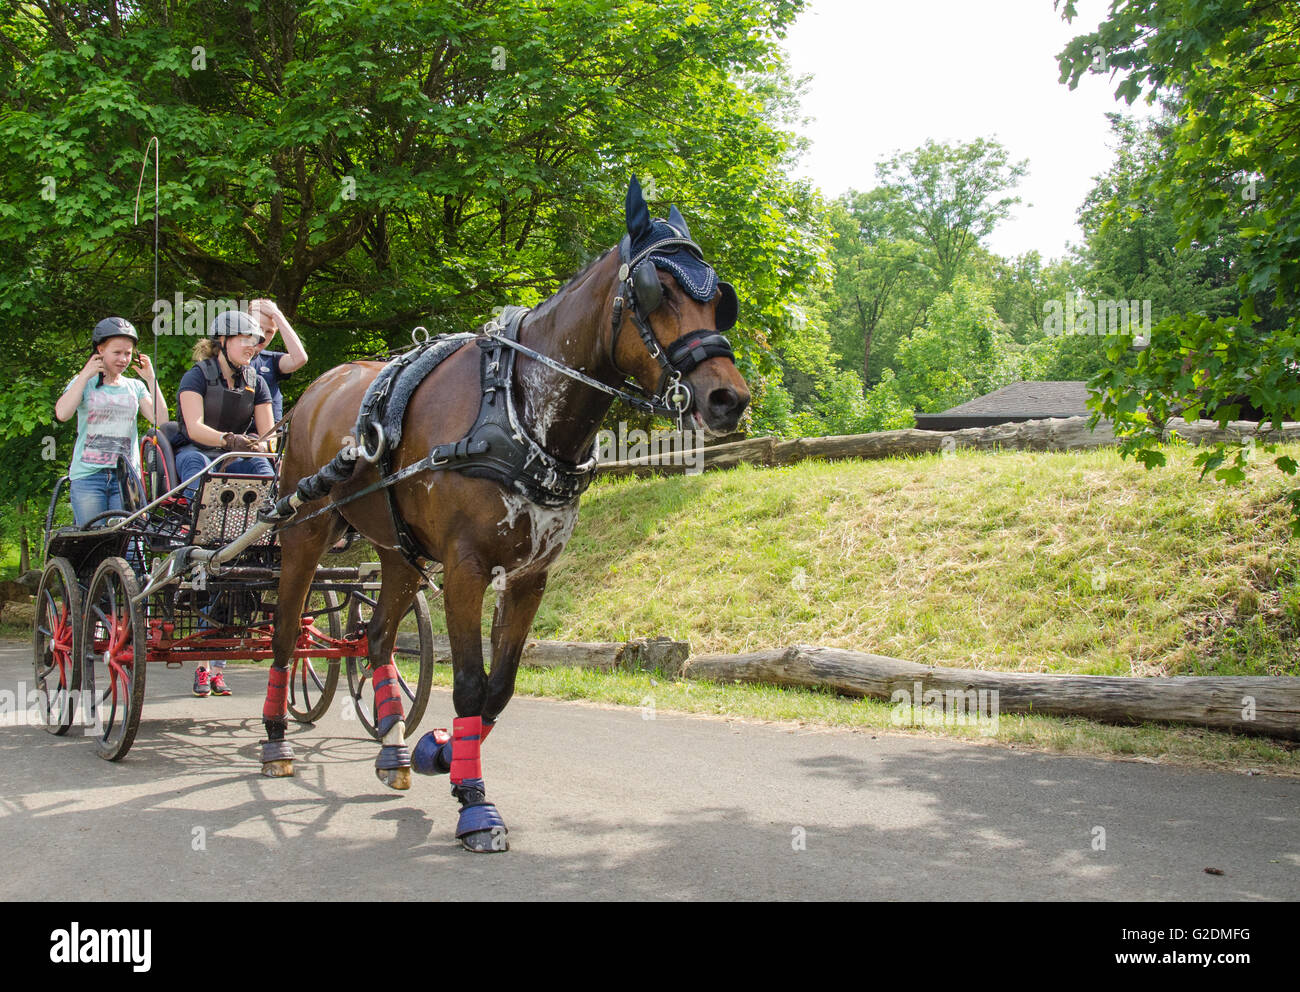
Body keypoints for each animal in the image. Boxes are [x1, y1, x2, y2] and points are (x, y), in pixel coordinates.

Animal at [259, 178, 750, 852]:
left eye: (720, 298)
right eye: (659, 290)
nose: (729, 398)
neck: (517, 408)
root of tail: (317, 389)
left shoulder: (528, 577)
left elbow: (500, 687)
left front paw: (442, 752)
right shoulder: (466, 569)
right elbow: (468, 682)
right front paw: (474, 803)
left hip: (399, 552)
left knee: (377, 636)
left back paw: (392, 747)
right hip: (305, 532)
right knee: (286, 632)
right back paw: (277, 740)